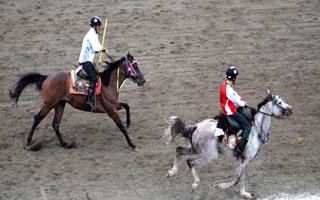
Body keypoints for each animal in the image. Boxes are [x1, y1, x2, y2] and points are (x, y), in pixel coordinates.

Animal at [9, 52, 145, 151]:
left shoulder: (114, 105)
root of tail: (46, 77)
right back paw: (29, 142)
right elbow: (121, 127)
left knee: (55, 124)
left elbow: (127, 106)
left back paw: (65, 143)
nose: (143, 80)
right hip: (49, 104)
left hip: (60, 104)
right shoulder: (111, 110)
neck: (108, 84)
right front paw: (132, 145)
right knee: (37, 118)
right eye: (135, 66)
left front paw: (128, 122)